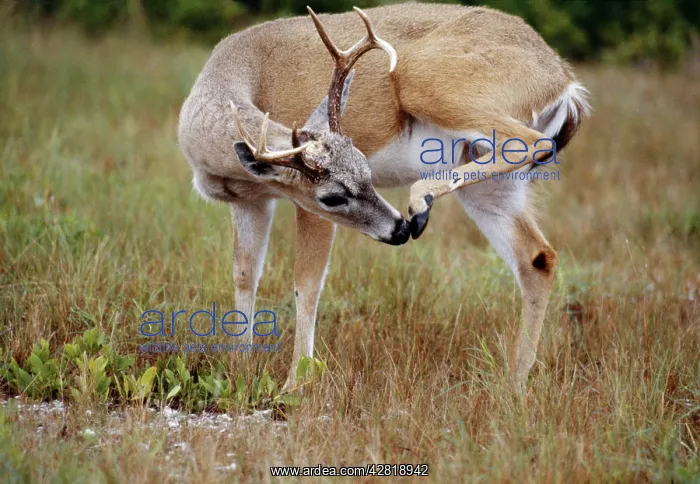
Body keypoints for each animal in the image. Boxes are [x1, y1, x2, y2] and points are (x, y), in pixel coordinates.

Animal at [177, 3, 590, 391]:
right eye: (335, 196)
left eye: (366, 170)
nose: (399, 230)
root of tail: (564, 80)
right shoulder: (250, 201)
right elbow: (244, 274)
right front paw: (239, 369)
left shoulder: (303, 205)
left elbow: (306, 284)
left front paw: (294, 383)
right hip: (489, 180)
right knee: (538, 257)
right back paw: (515, 383)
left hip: (426, 81)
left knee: (530, 144)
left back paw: (421, 203)